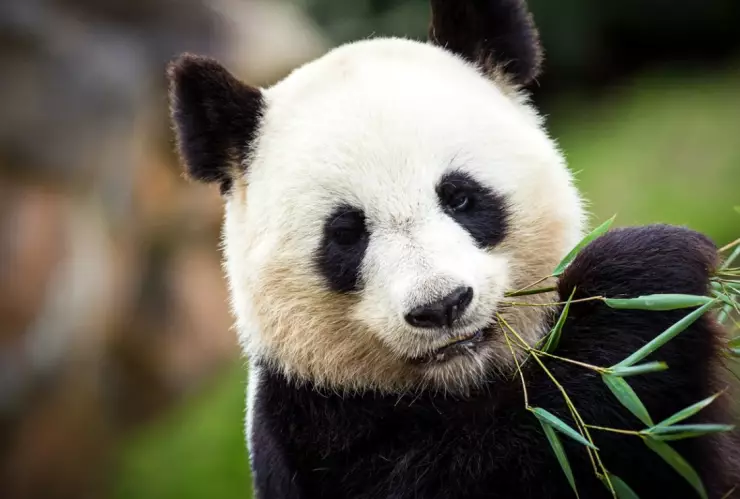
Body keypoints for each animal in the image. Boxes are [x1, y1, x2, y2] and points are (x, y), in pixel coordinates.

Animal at [166, 0, 739, 497]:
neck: (461, 379)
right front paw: (647, 273)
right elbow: (496, 460)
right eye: (346, 233)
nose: (441, 306)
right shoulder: (309, 427)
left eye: (460, 196)